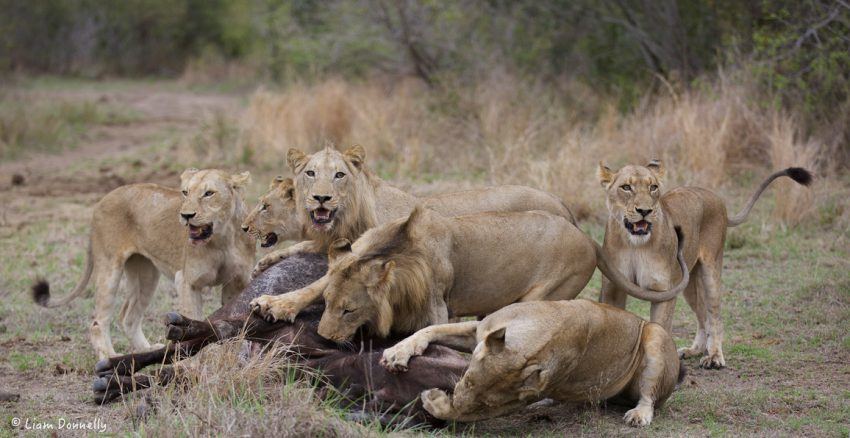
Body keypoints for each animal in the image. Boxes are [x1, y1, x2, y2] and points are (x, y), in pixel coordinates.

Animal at [32, 169, 255, 360]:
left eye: (209, 193)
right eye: (185, 192)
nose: (186, 215)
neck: (223, 238)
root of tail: (104, 198)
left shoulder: (237, 282)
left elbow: (233, 319)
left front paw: (233, 355)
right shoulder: (187, 282)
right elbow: (192, 320)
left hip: (145, 274)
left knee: (128, 317)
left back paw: (147, 350)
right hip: (110, 267)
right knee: (98, 321)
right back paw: (109, 358)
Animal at [380, 300, 684, 426]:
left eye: (486, 403)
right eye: (467, 379)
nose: (458, 398)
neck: (534, 345)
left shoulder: (521, 397)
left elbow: (465, 415)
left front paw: (437, 404)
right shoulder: (480, 329)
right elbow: (431, 329)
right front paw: (397, 352)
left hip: (656, 335)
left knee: (649, 396)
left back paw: (639, 415)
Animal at [596, 161, 808, 370]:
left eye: (653, 187)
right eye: (626, 187)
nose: (645, 211)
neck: (635, 246)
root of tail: (716, 198)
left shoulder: (663, 292)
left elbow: (660, 328)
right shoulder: (613, 288)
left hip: (710, 270)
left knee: (714, 317)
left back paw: (714, 357)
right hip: (688, 284)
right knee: (702, 316)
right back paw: (693, 350)